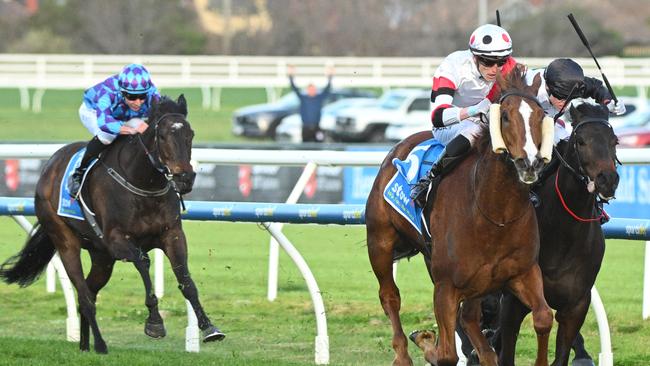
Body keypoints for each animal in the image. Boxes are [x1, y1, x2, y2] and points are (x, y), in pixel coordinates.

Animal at [0, 96, 224, 354]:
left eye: (190, 134)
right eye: (162, 136)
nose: (185, 177)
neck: (144, 183)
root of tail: (49, 168)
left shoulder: (172, 235)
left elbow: (186, 281)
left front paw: (209, 327)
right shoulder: (117, 240)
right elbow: (143, 263)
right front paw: (155, 323)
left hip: (102, 257)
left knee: (88, 291)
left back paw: (85, 345)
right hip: (65, 241)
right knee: (84, 296)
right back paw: (100, 344)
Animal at [368, 66, 556, 366]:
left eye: (540, 116)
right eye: (504, 116)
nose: (530, 163)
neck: (494, 213)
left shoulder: (523, 272)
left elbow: (543, 317)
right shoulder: (446, 286)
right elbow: (446, 354)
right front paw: (426, 342)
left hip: (476, 280)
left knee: (469, 317)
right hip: (380, 242)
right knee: (390, 296)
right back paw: (403, 354)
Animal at [494, 103, 620, 366]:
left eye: (614, 141)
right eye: (581, 141)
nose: (608, 180)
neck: (562, 235)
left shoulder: (576, 305)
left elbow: (561, 354)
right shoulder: (513, 302)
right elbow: (506, 353)